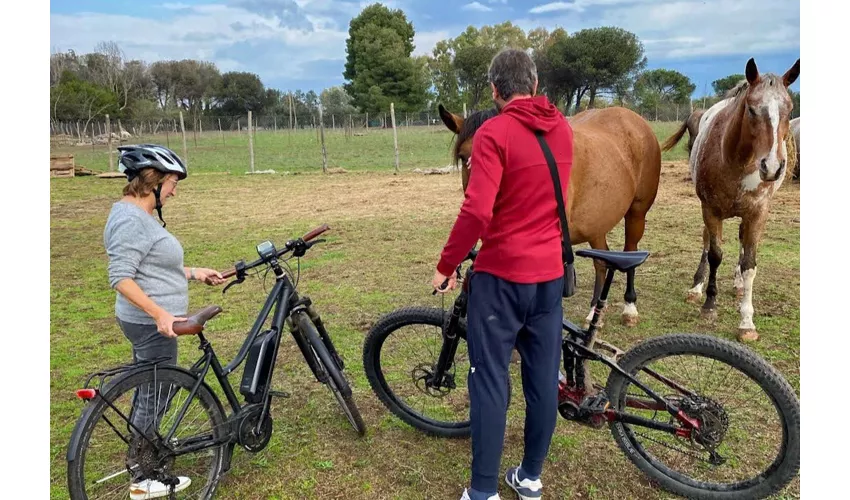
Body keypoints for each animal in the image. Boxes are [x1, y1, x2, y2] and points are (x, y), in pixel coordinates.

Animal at [440, 103, 660, 326]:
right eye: (464, 157)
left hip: (636, 213)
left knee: (629, 249)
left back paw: (629, 307)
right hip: (597, 222)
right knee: (601, 262)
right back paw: (594, 312)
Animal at [664, 56, 796, 342]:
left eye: (789, 109)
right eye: (752, 109)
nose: (772, 167)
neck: (737, 160)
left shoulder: (758, 213)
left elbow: (749, 263)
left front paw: (746, 321)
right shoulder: (710, 209)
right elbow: (714, 254)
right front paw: (708, 305)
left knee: (742, 243)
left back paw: (738, 285)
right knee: (708, 242)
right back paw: (697, 286)